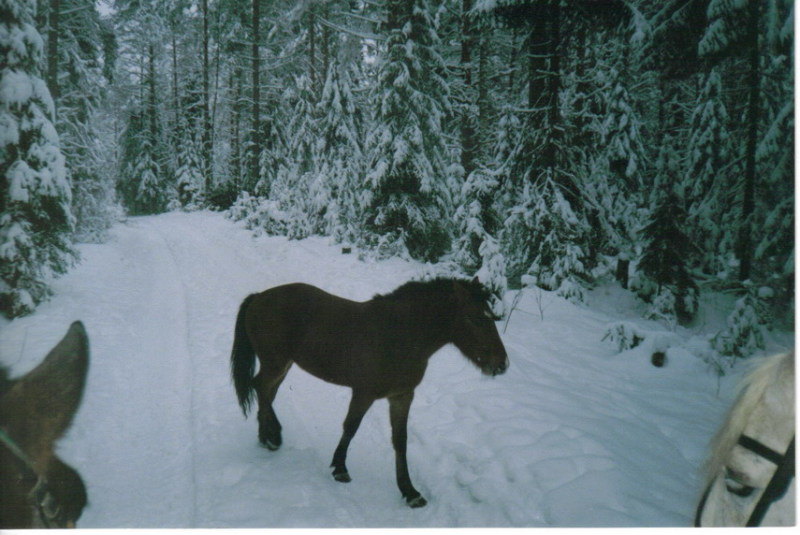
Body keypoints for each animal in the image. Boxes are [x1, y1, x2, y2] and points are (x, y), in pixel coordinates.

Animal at [231, 278, 506, 508]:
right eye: (473, 318)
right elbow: (351, 427)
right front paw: (340, 467)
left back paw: (266, 436)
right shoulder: (364, 392)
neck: (401, 335)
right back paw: (273, 436)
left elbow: (400, 440)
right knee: (260, 388)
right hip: (275, 362)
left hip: (283, 365)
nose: (501, 363)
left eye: (491, 317)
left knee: (267, 393)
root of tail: (259, 296)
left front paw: (409, 491)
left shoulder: (402, 396)